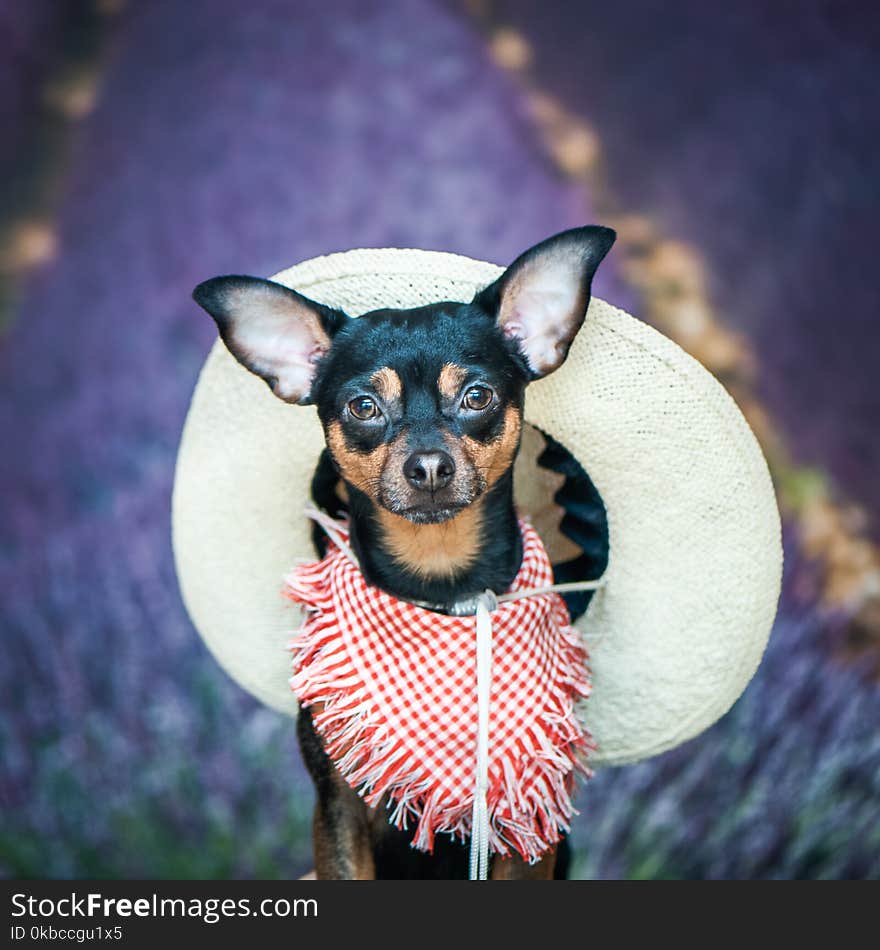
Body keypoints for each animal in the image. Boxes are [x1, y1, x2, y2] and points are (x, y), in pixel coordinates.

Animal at [196, 227, 616, 880]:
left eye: (478, 396)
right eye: (362, 407)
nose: (428, 466)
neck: (440, 579)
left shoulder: (530, 830)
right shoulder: (338, 808)